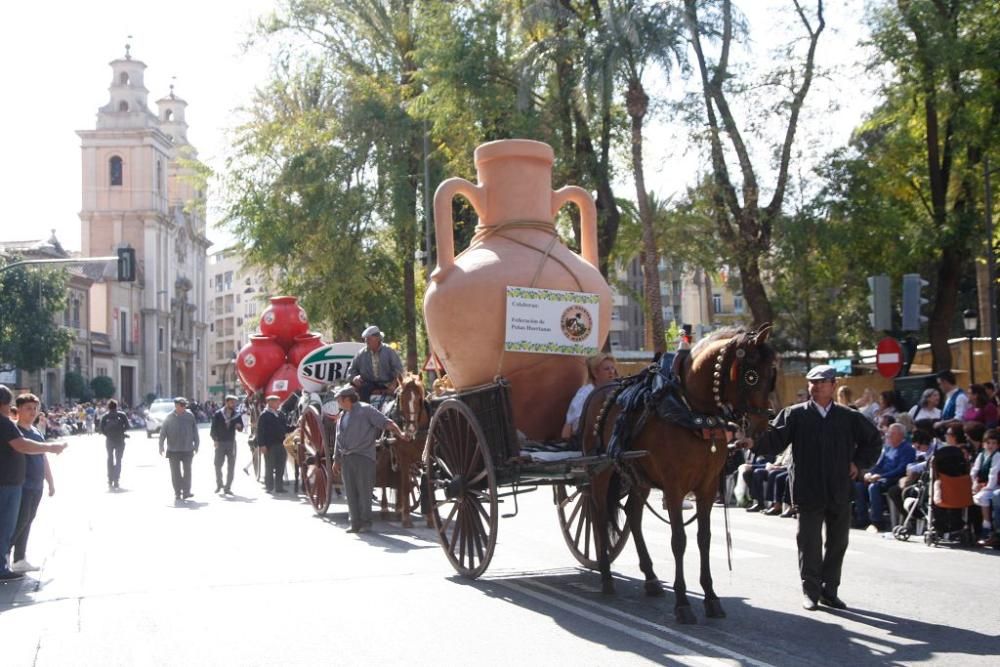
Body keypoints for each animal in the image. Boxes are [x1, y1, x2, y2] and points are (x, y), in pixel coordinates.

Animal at [584, 326, 776, 624]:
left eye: (772, 375)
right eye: (751, 375)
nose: (761, 427)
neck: (691, 412)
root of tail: (597, 391)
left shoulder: (707, 487)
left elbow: (704, 538)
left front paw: (711, 597)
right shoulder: (674, 487)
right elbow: (679, 540)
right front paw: (683, 602)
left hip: (638, 477)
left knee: (632, 515)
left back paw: (651, 578)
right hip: (600, 472)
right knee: (599, 516)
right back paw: (605, 576)